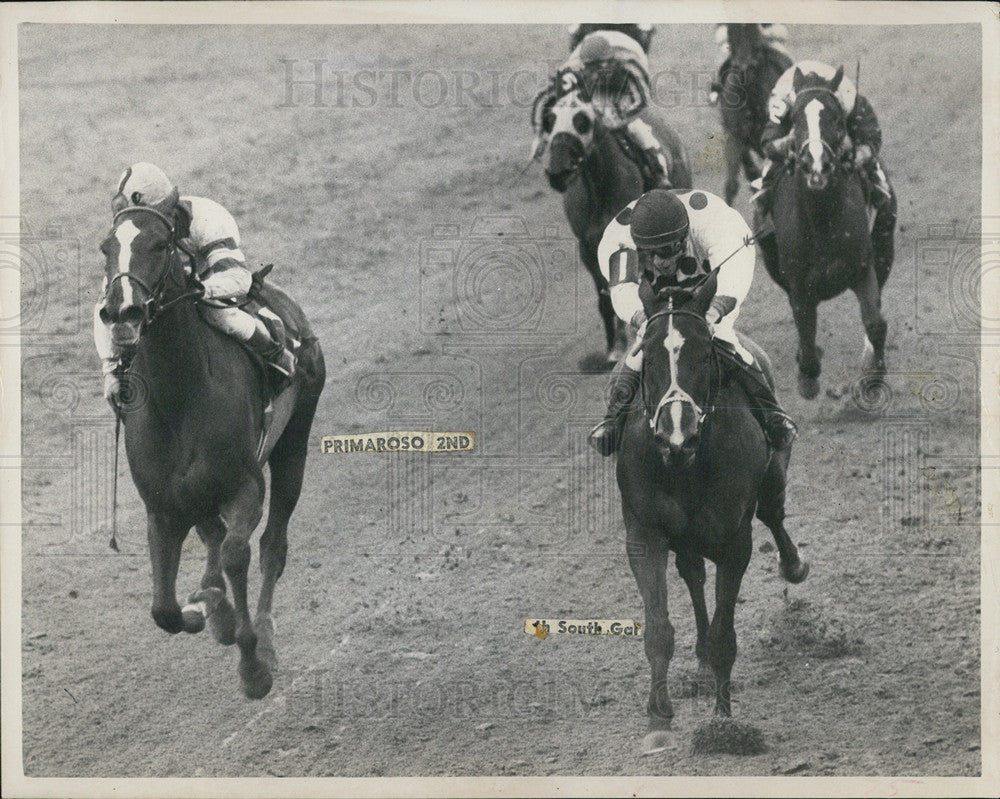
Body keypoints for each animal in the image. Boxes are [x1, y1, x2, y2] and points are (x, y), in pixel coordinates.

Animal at [98, 205, 324, 700]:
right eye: (106, 248)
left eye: (160, 244)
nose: (122, 311)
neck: (180, 398)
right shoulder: (163, 509)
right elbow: (163, 610)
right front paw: (206, 609)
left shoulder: (244, 488)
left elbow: (239, 553)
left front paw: (253, 665)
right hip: (198, 495)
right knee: (212, 535)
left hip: (293, 444)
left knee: (271, 545)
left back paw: (263, 635)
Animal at [540, 87, 688, 366]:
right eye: (550, 120)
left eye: (582, 121)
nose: (557, 173)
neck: (600, 186)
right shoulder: (588, 250)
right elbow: (605, 297)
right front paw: (614, 349)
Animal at [616, 276, 804, 756]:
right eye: (649, 355)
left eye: (704, 354)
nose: (676, 436)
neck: (685, 463)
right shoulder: (645, 535)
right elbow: (658, 630)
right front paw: (658, 720)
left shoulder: (734, 541)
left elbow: (724, 634)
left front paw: (723, 722)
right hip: (686, 536)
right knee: (693, 574)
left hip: (773, 472)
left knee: (773, 514)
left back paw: (794, 564)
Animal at [756, 67, 892, 398]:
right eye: (795, 121)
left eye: (836, 119)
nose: (815, 164)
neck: (822, 221)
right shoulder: (799, 286)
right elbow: (805, 335)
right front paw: (808, 379)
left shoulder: (862, 268)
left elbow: (875, 323)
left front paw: (873, 377)